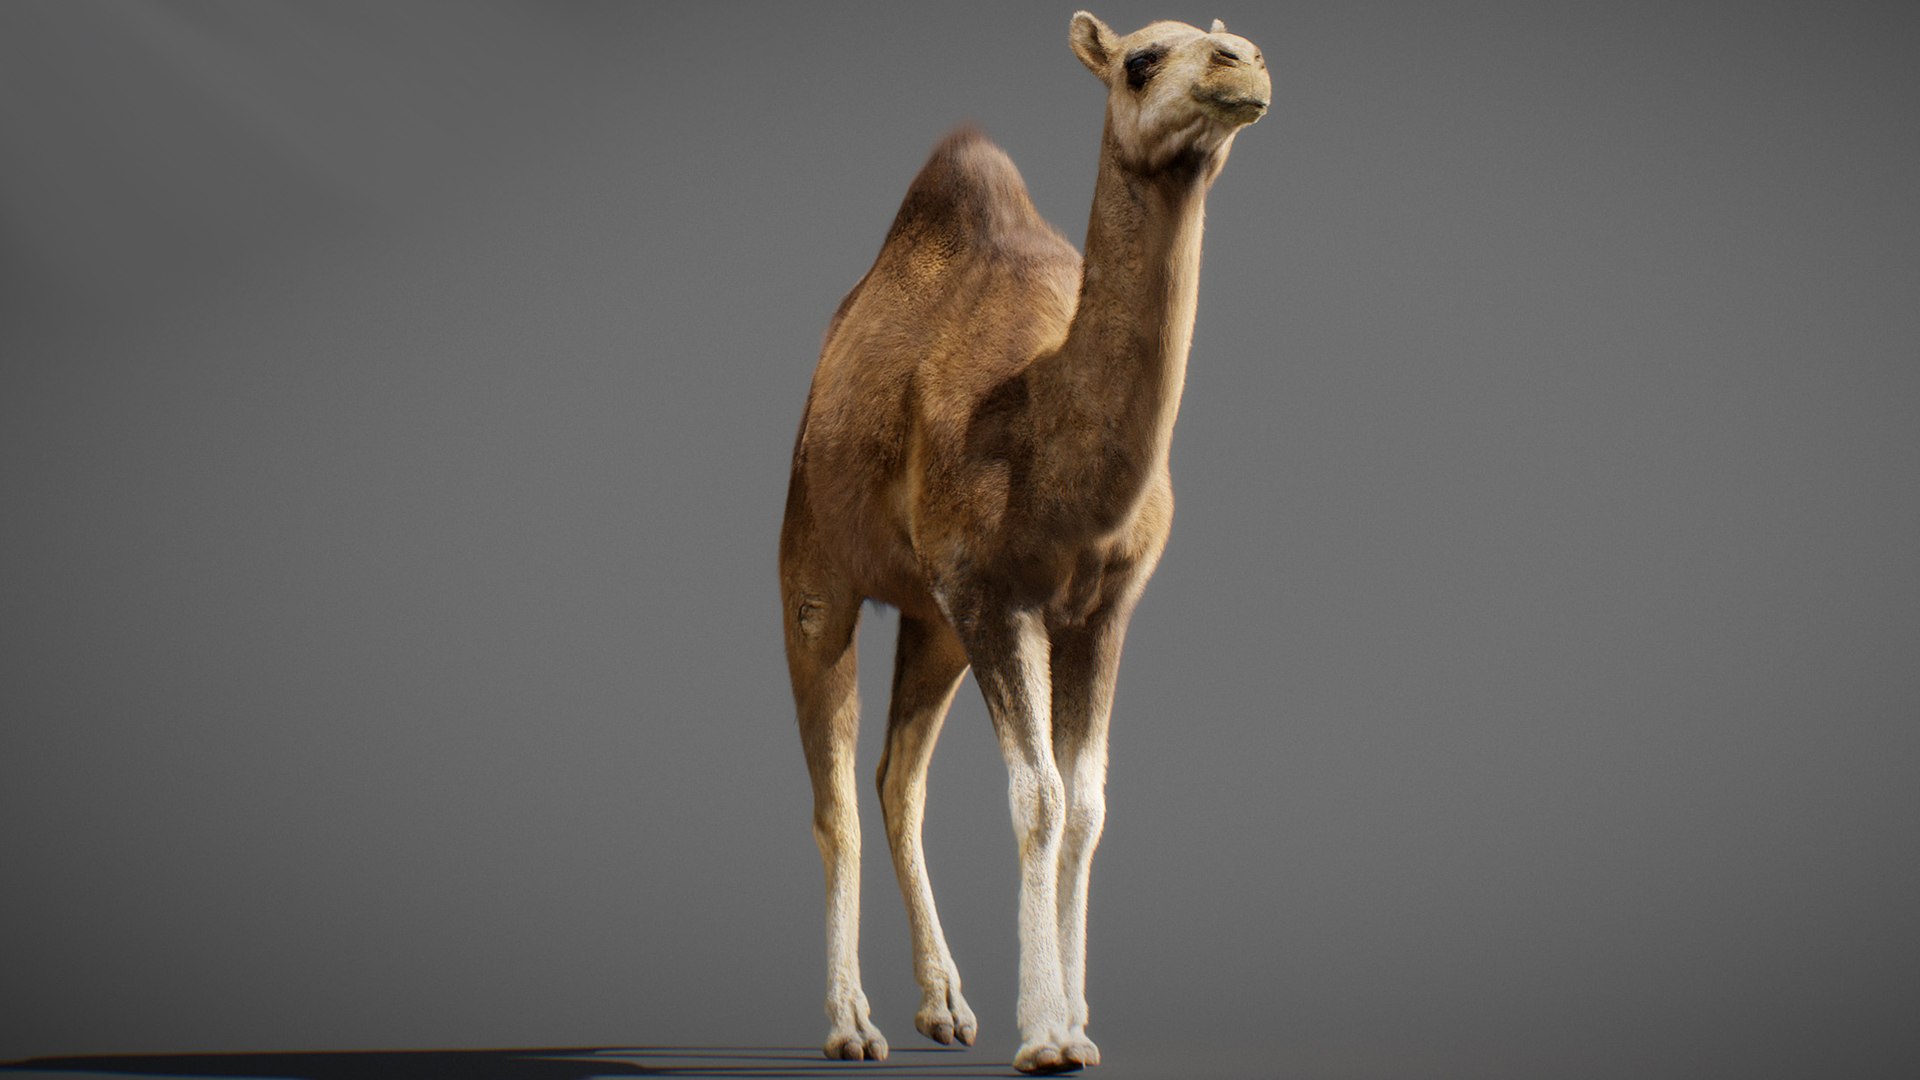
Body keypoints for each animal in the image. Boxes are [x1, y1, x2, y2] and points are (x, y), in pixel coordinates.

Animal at [778, 12, 1269, 1074]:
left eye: (1230, 39)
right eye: (1141, 60)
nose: (1244, 64)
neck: (1041, 425)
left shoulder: (1100, 608)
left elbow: (1085, 806)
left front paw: (1077, 1023)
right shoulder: (993, 593)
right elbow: (1037, 797)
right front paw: (1045, 1034)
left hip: (934, 624)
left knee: (898, 778)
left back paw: (945, 1007)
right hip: (814, 564)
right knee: (836, 788)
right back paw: (852, 1024)